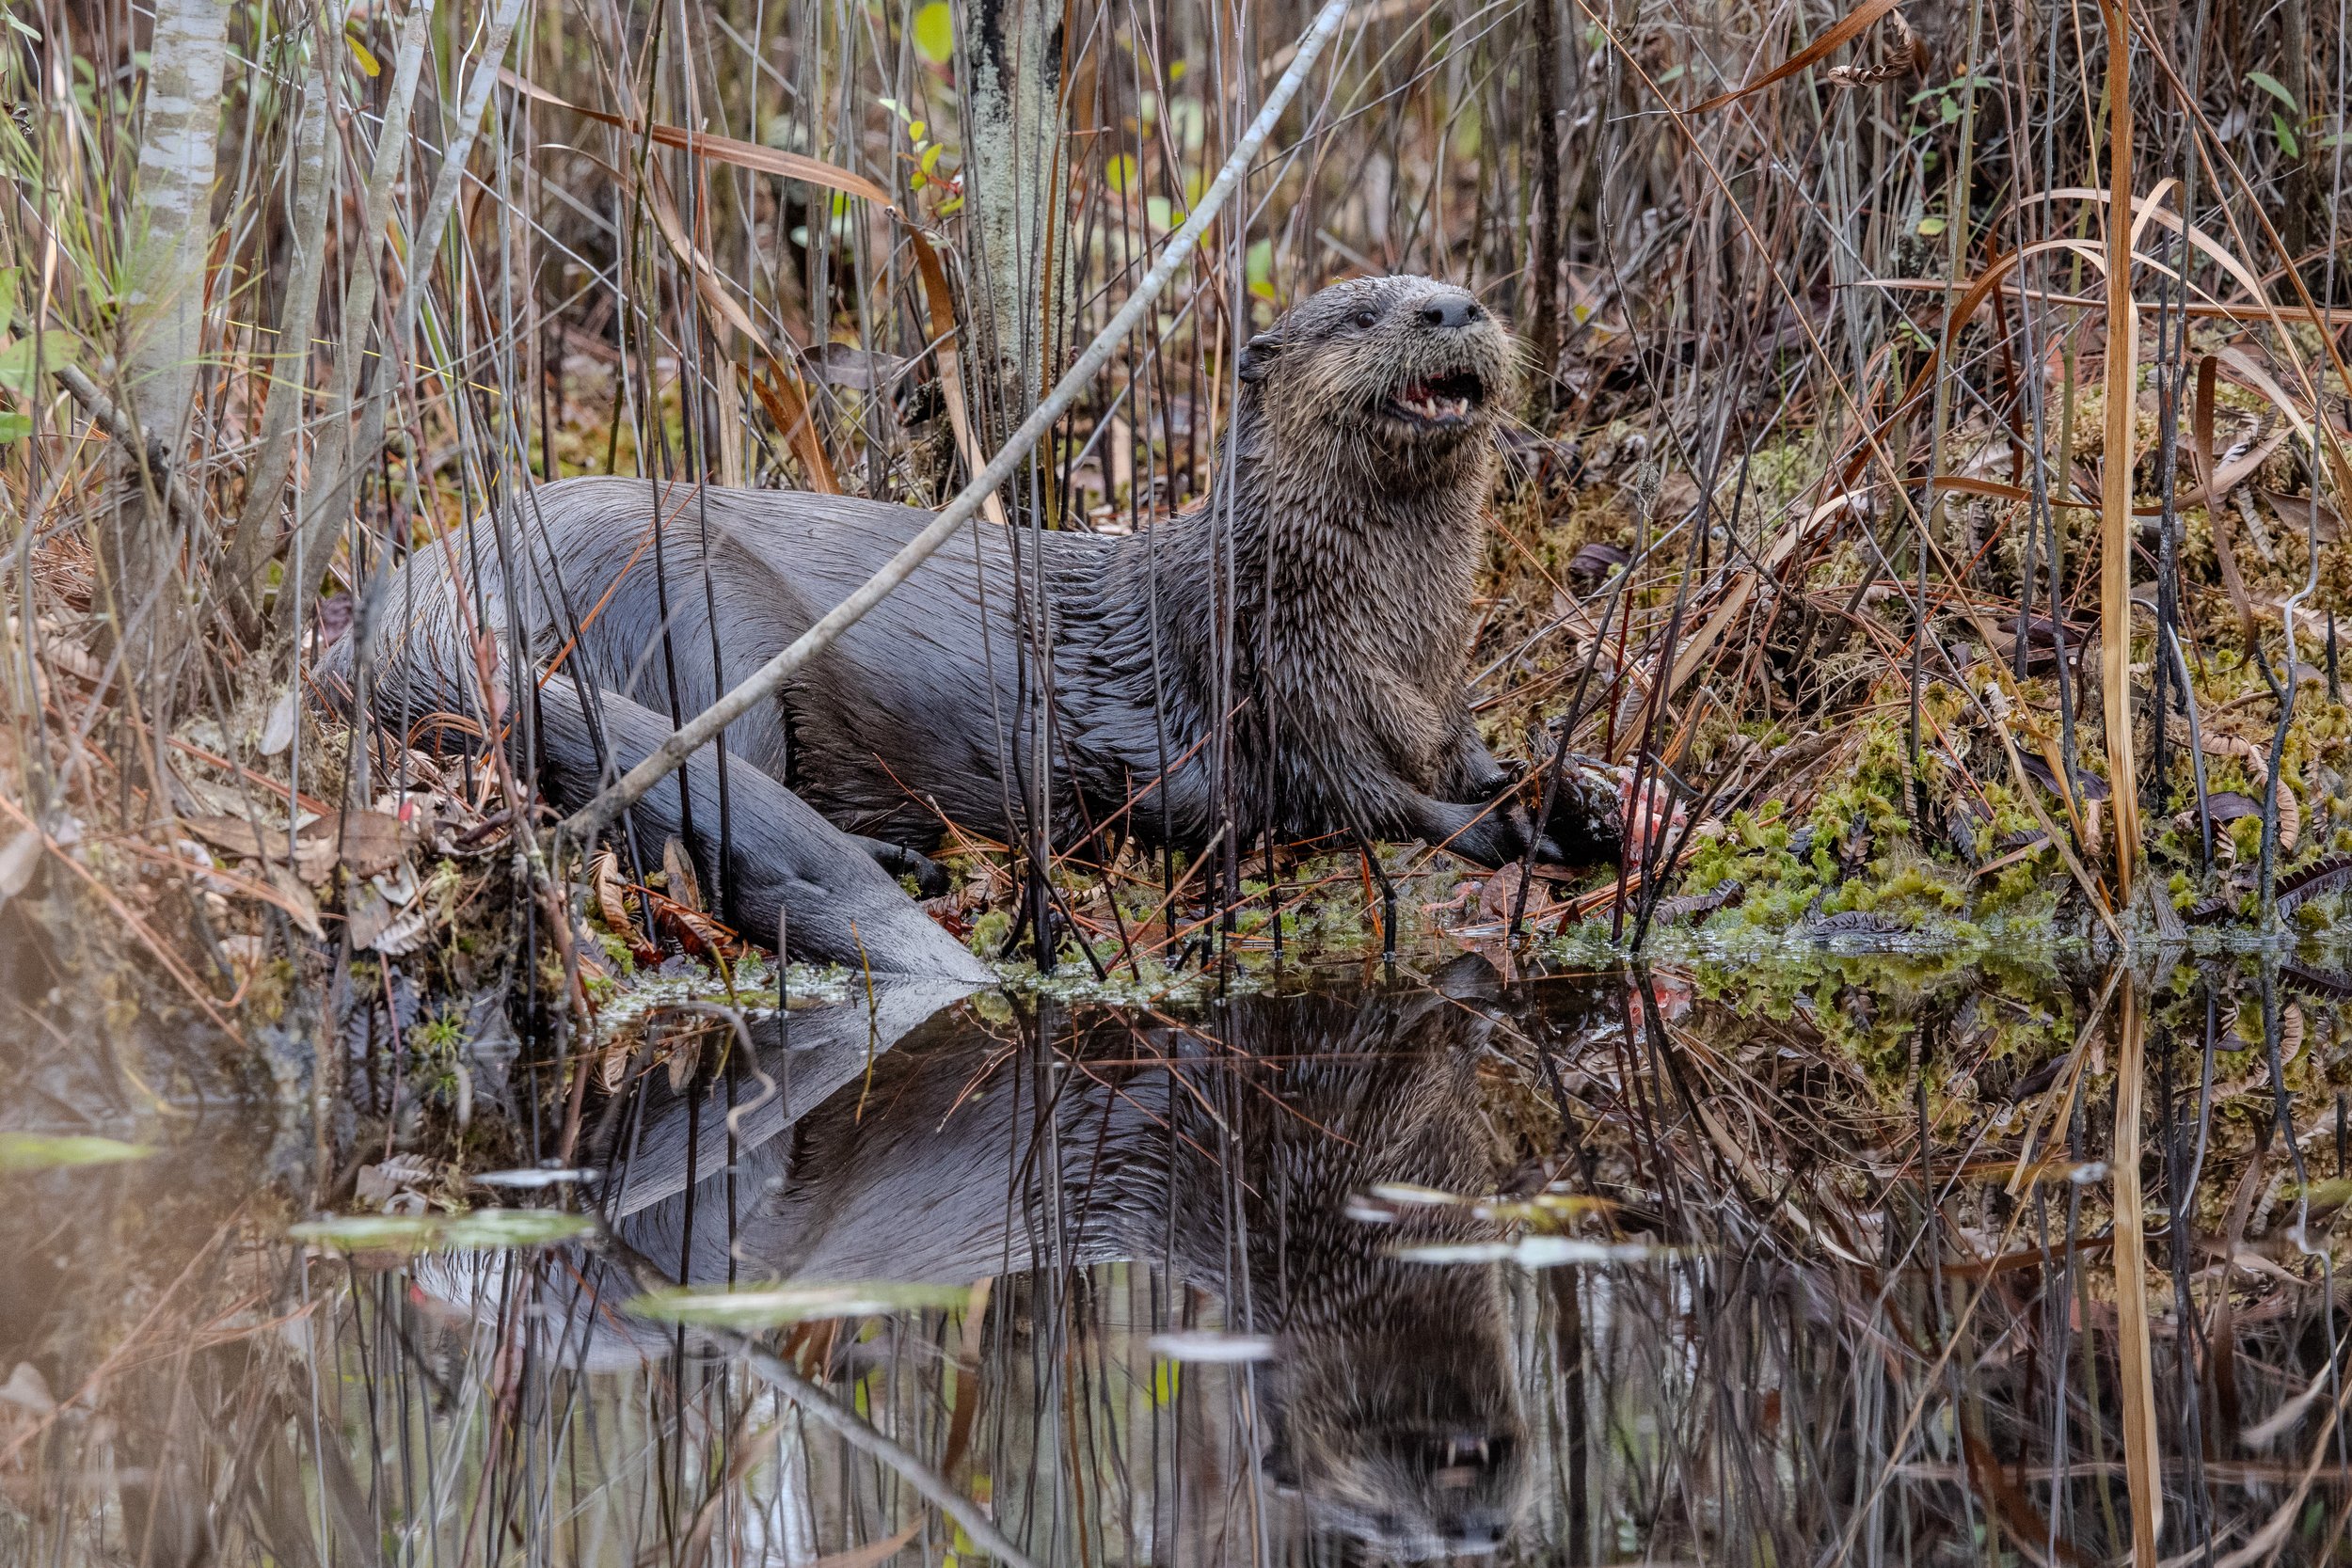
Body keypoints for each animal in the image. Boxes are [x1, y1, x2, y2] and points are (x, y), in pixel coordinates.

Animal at [350, 275, 1594, 974]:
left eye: (1459, 292)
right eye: (1359, 314)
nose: (1450, 310)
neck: (1379, 631)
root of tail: (435, 578)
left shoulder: (1427, 696)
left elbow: (1462, 758)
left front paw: (1564, 790)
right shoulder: (1264, 694)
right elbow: (1356, 800)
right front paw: (1502, 830)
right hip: (693, 607)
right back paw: (908, 864)